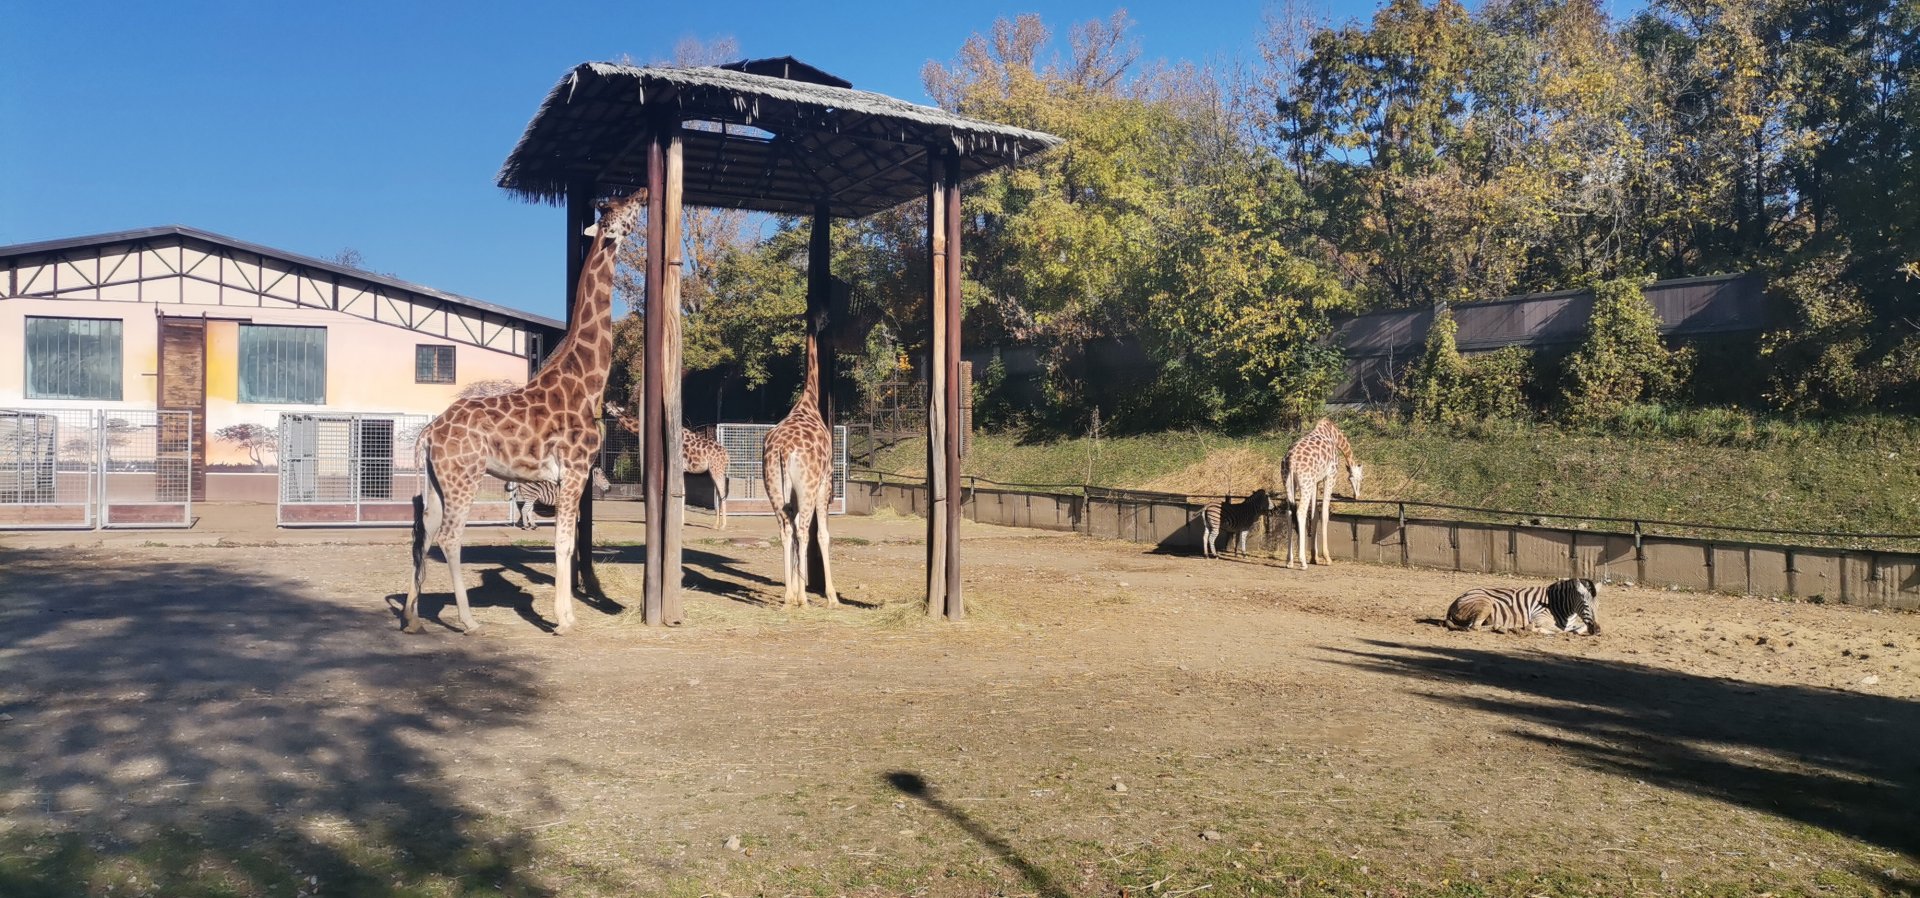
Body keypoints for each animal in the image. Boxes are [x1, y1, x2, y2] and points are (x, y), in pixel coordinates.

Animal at [401, 190, 645, 635]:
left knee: (424, 530)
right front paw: (563, 620)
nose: (645, 193)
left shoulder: (570, 476)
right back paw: (468, 621)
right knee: (449, 537)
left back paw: (411, 617)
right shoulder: (576, 470)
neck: (586, 381)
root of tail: (429, 432)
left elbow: (567, 543)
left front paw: (566, 614)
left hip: (437, 480)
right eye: (621, 207)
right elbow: (563, 543)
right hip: (464, 477)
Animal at [761, 304, 838, 609]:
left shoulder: (792, 491)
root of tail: (783, 450)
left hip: (773, 484)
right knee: (804, 529)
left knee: (785, 529)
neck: (809, 400)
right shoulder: (825, 481)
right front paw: (831, 596)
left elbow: (792, 531)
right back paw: (803, 598)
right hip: (807, 486)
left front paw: (795, 588)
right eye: (824, 314)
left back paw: (788, 596)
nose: (829, 321)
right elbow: (823, 535)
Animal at [1282, 418, 1364, 570]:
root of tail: (1291, 461)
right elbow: (1324, 513)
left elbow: (1314, 515)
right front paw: (1326, 558)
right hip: (1305, 483)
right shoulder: (1330, 476)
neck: (1334, 436)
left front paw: (1315, 557)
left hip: (1288, 483)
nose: (1357, 496)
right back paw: (1302, 562)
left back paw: (1289, 561)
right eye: (1361, 478)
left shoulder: (1316, 481)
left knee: (1289, 513)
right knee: (1300, 512)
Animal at [1444, 578, 1601, 635]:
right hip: (1485, 603)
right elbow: (1558, 630)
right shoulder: (1539, 617)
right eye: (1585, 604)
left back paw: (1504, 628)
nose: (1597, 630)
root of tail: (1455, 600)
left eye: (1598, 605)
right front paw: (1536, 630)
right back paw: (1506, 628)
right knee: (1474, 627)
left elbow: (1580, 627)